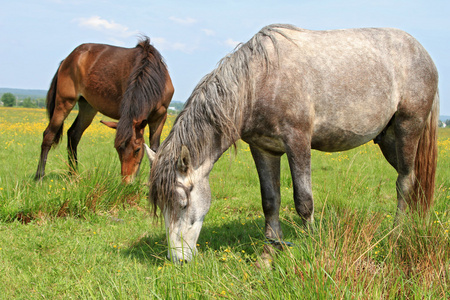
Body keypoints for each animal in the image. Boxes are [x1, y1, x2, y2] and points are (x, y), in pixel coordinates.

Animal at [33, 37, 173, 183]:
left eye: (137, 149)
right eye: (117, 149)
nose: (126, 183)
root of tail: (69, 58)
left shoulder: (160, 116)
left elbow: (155, 149)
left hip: (88, 107)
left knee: (73, 134)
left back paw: (74, 175)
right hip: (64, 102)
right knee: (49, 134)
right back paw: (39, 177)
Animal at [146, 24, 438, 262]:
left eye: (183, 202)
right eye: (161, 205)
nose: (178, 260)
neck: (259, 81)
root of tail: (423, 53)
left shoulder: (297, 142)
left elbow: (303, 201)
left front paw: (311, 244)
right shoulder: (263, 148)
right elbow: (270, 200)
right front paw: (269, 251)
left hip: (407, 128)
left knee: (404, 182)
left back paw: (397, 233)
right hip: (388, 140)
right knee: (413, 180)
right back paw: (416, 225)